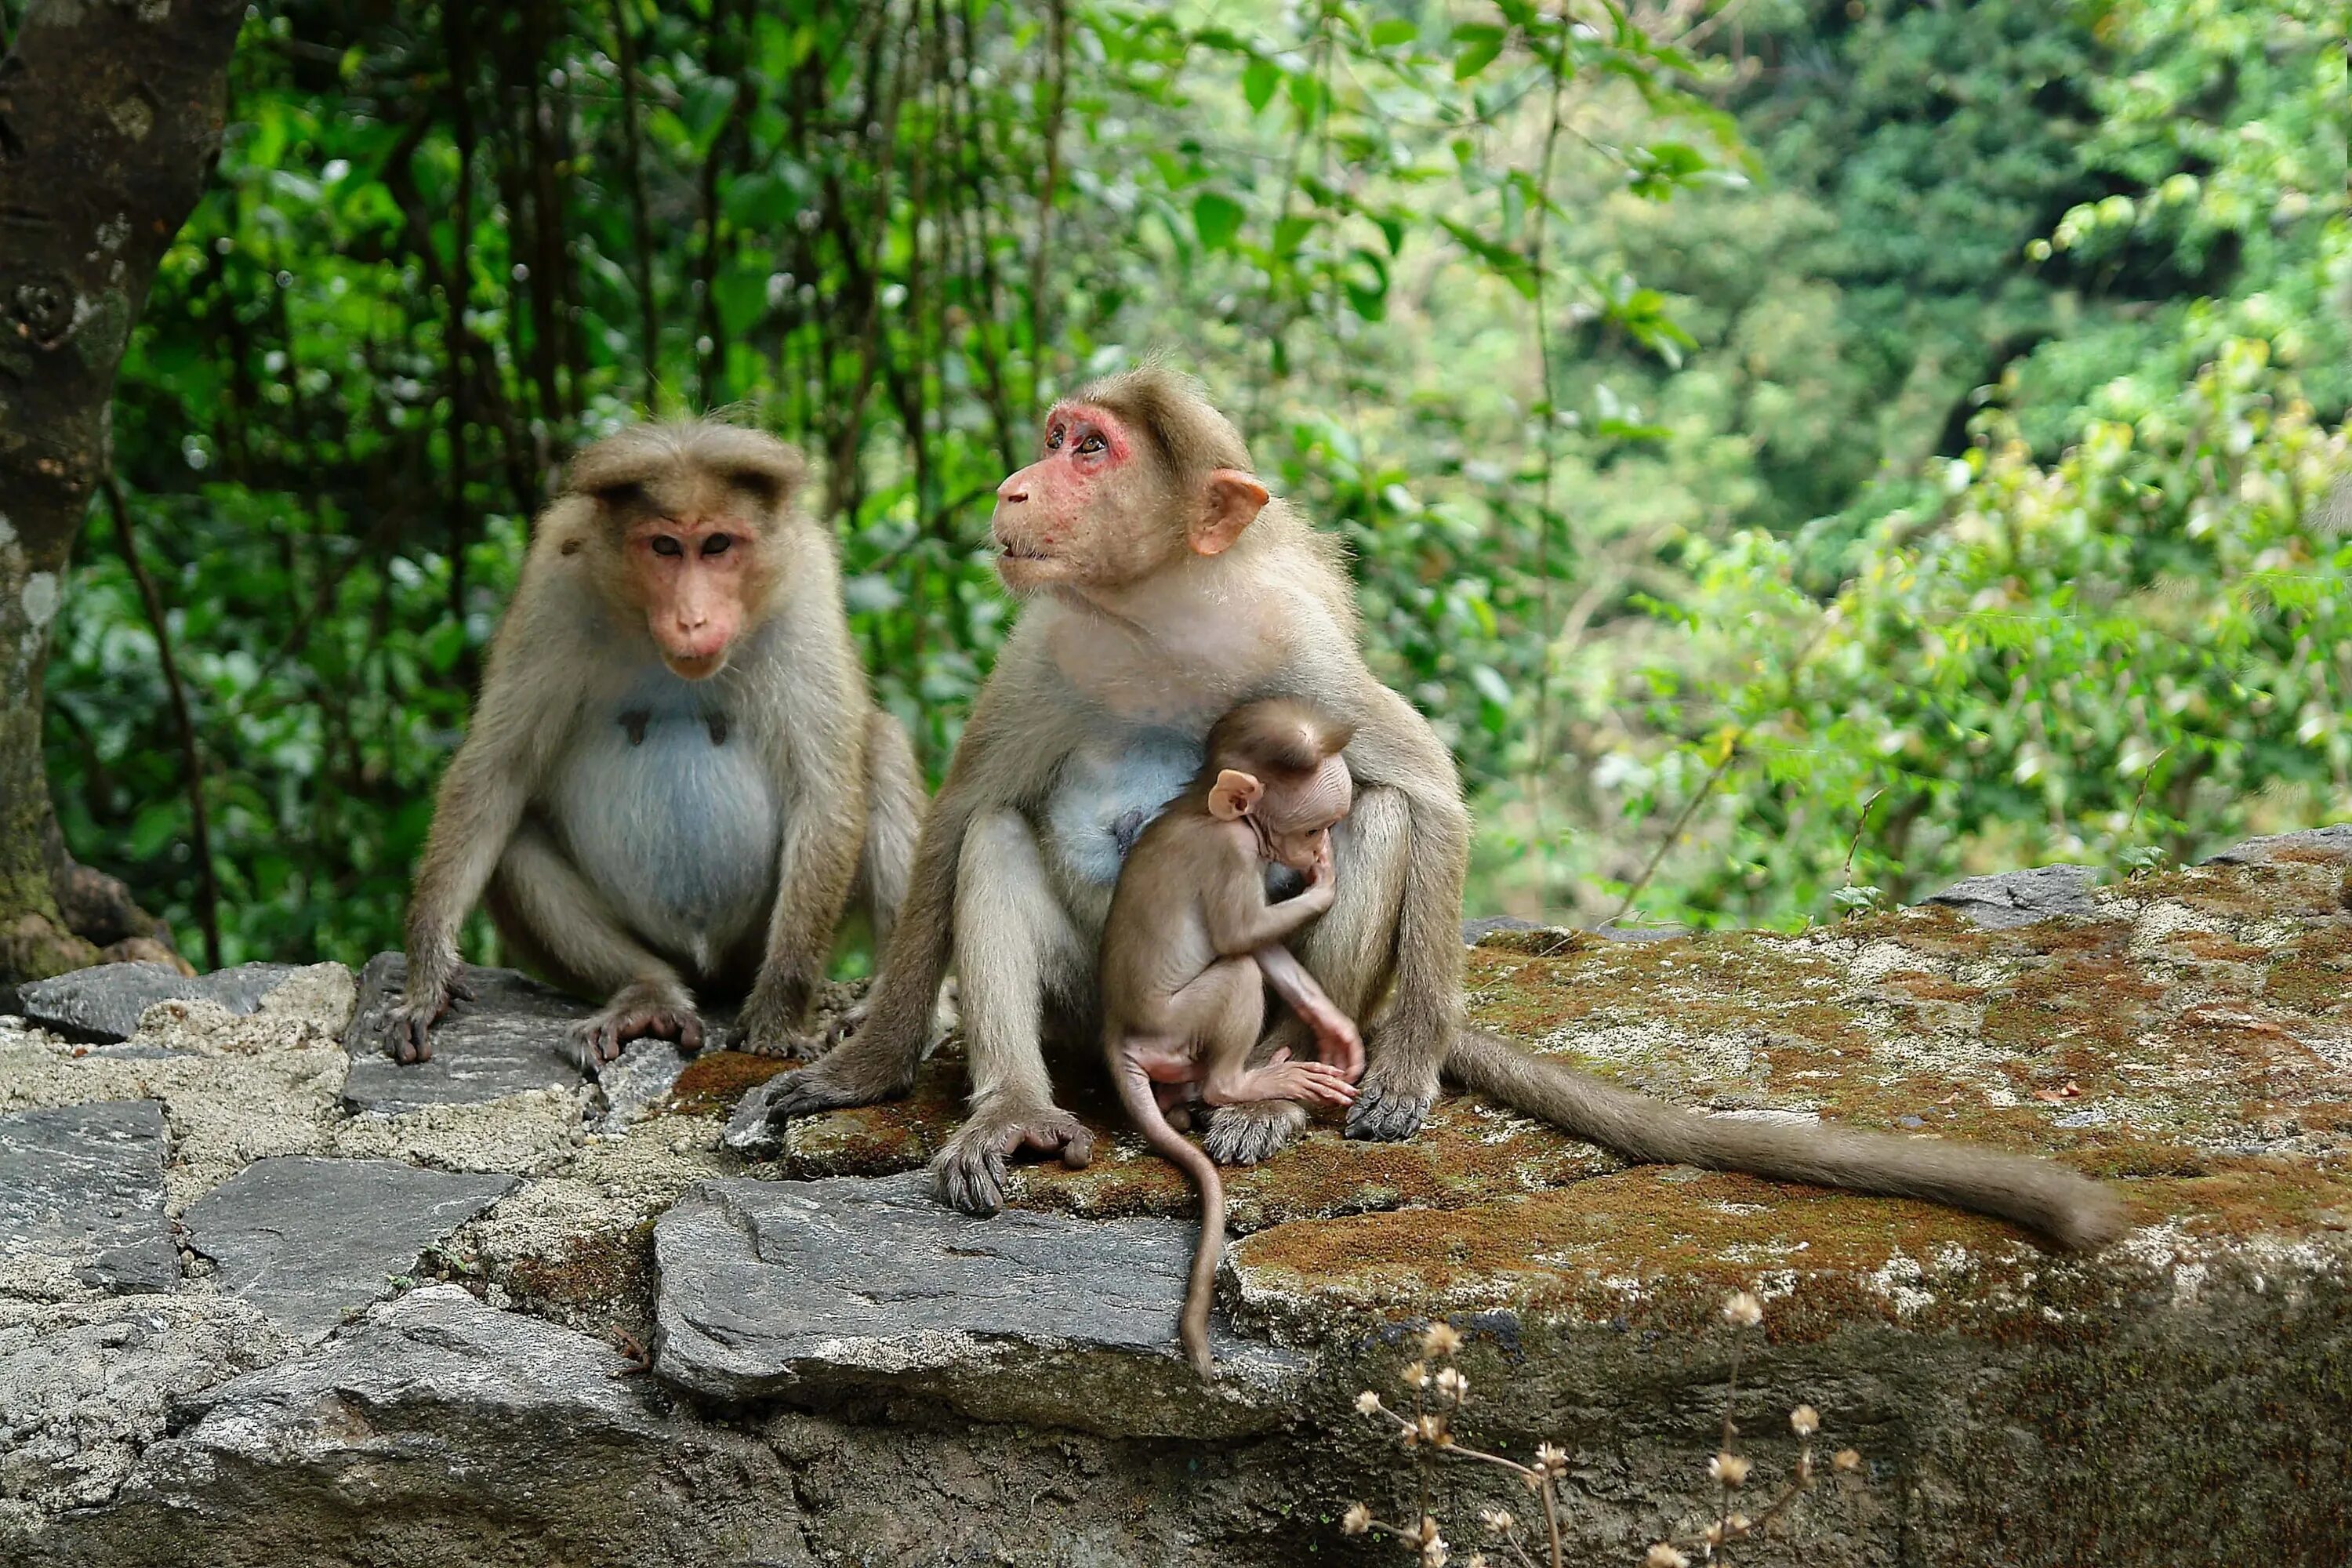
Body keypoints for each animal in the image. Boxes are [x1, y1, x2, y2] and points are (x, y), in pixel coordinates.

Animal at [395, 420, 917, 1067]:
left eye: (717, 545)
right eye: (666, 548)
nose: (692, 620)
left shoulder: (807, 587)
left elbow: (824, 791)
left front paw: (776, 1015)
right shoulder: (554, 581)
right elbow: (497, 769)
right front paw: (427, 973)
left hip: (751, 947)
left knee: (883, 746)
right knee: (512, 834)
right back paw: (648, 995)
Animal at [743, 361, 2126, 1260]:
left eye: (1093, 450)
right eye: (1054, 434)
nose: (1018, 486)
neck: (1154, 612)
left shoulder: (1295, 646)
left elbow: (1428, 791)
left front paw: (1410, 1062)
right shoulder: (1047, 646)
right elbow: (963, 815)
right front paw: (863, 1066)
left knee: (1379, 822)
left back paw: (1267, 1103)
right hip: (1098, 1016)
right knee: (995, 843)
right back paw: (1020, 1112)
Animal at [1105, 700, 1374, 1373]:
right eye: (1314, 827)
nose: (1319, 848)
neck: (1205, 808)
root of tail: (1118, 1036)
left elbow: (1264, 945)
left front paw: (1338, 1033)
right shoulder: (1231, 852)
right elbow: (1241, 936)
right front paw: (1324, 886)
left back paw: (1180, 1106)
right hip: (1175, 1026)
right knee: (1235, 974)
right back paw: (1243, 1085)